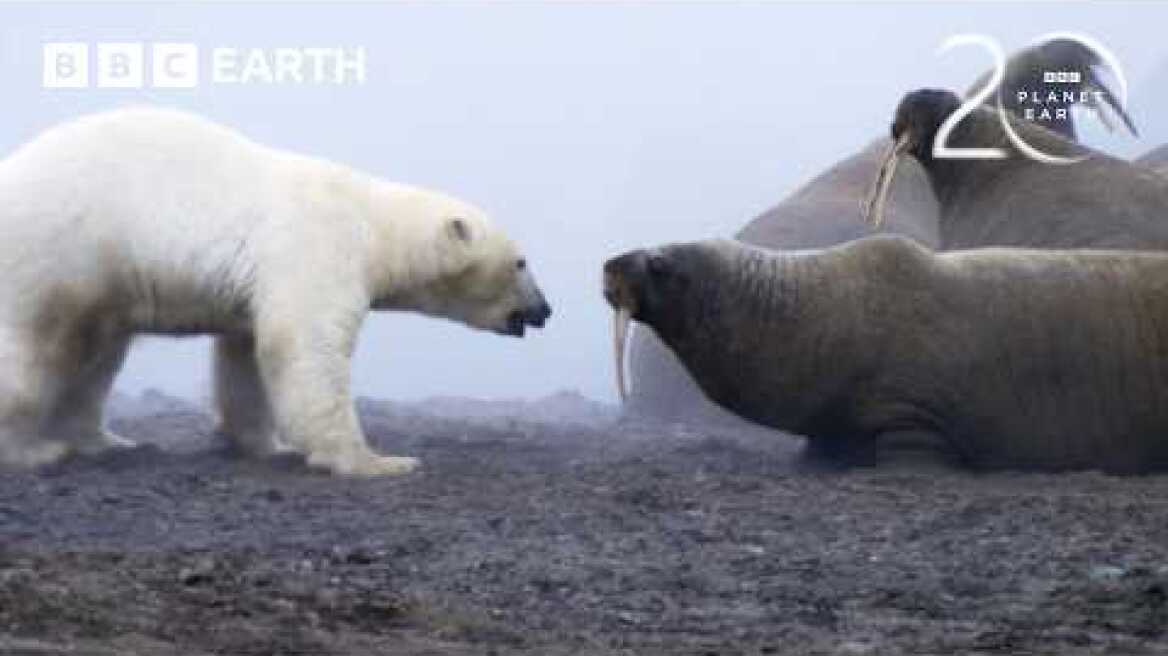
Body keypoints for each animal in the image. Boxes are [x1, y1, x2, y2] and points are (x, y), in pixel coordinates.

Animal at [0, 107, 552, 476]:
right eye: (521, 262)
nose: (545, 309)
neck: (372, 222)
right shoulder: (318, 244)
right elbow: (306, 346)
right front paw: (378, 460)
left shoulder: (260, 285)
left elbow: (246, 357)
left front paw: (265, 445)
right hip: (62, 252)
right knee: (40, 347)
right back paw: (35, 450)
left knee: (98, 356)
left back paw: (108, 440)